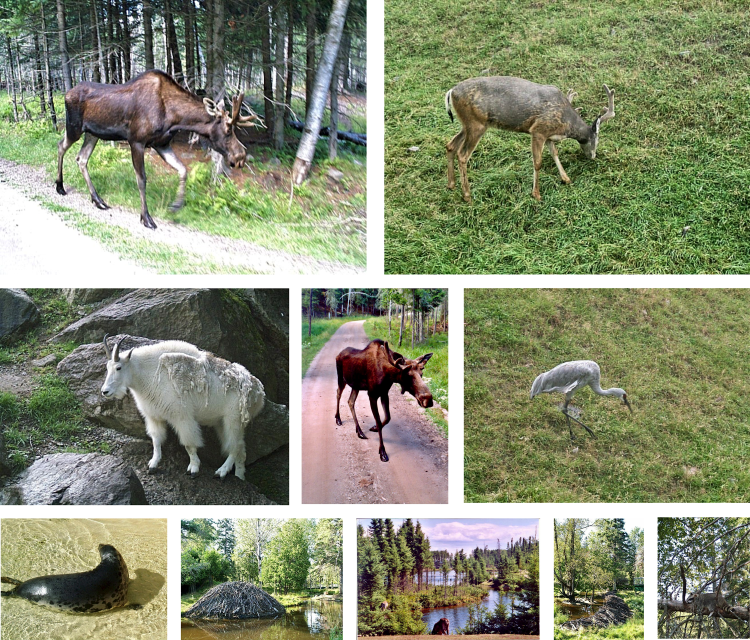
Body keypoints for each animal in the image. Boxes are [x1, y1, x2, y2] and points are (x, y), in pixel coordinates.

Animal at [55, 69, 262, 229]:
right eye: (228, 130)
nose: (241, 156)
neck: (175, 118)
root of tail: (66, 93)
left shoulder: (161, 144)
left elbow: (183, 170)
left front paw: (176, 205)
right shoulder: (137, 141)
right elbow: (142, 180)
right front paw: (146, 218)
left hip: (93, 134)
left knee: (81, 158)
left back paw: (98, 200)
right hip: (74, 127)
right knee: (61, 146)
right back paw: (60, 186)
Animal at [100, 336, 264, 480]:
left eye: (118, 367)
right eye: (107, 367)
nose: (105, 391)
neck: (149, 375)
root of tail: (258, 392)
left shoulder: (182, 417)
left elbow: (189, 444)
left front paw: (194, 468)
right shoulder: (154, 417)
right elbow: (156, 440)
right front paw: (153, 464)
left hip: (233, 418)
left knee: (235, 446)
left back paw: (221, 472)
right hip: (222, 422)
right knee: (240, 449)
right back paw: (239, 476)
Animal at [446, 75, 616, 200]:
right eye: (597, 139)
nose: (593, 156)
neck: (566, 122)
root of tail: (451, 91)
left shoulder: (549, 135)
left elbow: (555, 153)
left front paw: (566, 178)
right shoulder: (538, 130)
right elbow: (538, 162)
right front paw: (536, 194)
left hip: (467, 124)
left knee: (450, 145)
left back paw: (451, 184)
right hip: (477, 124)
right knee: (463, 154)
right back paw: (467, 195)